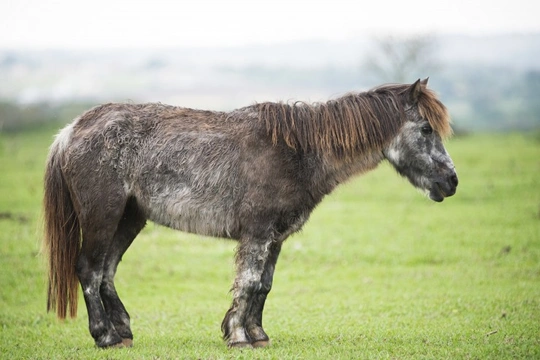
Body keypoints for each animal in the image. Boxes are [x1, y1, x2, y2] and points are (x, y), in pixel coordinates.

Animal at [42, 79, 458, 348]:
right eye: (426, 129)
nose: (451, 181)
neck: (297, 152)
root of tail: (70, 131)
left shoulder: (276, 237)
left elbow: (264, 286)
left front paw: (256, 335)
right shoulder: (257, 234)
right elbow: (248, 283)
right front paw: (239, 337)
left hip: (129, 219)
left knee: (107, 271)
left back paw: (124, 332)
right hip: (103, 216)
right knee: (89, 270)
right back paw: (105, 336)